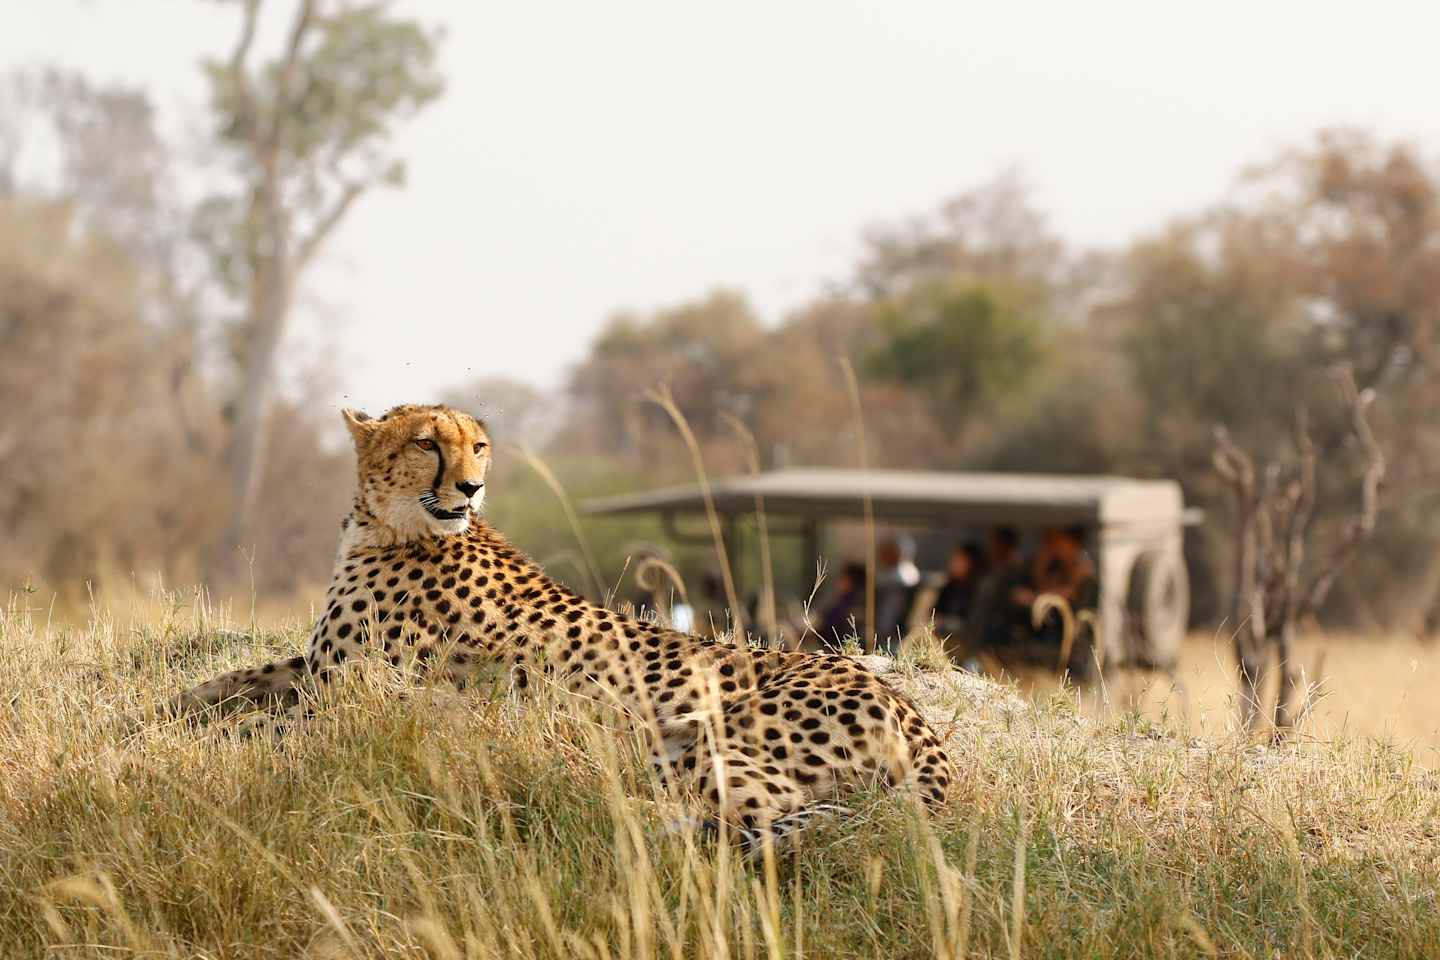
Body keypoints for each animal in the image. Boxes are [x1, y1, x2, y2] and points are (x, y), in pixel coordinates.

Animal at [170, 403, 955, 850]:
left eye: (478, 446)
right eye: (427, 444)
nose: (472, 485)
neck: (389, 525)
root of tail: (907, 706)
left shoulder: (356, 690)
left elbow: (261, 725)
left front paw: (205, 739)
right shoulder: (317, 666)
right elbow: (224, 683)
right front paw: (166, 710)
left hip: (697, 740)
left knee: (778, 813)